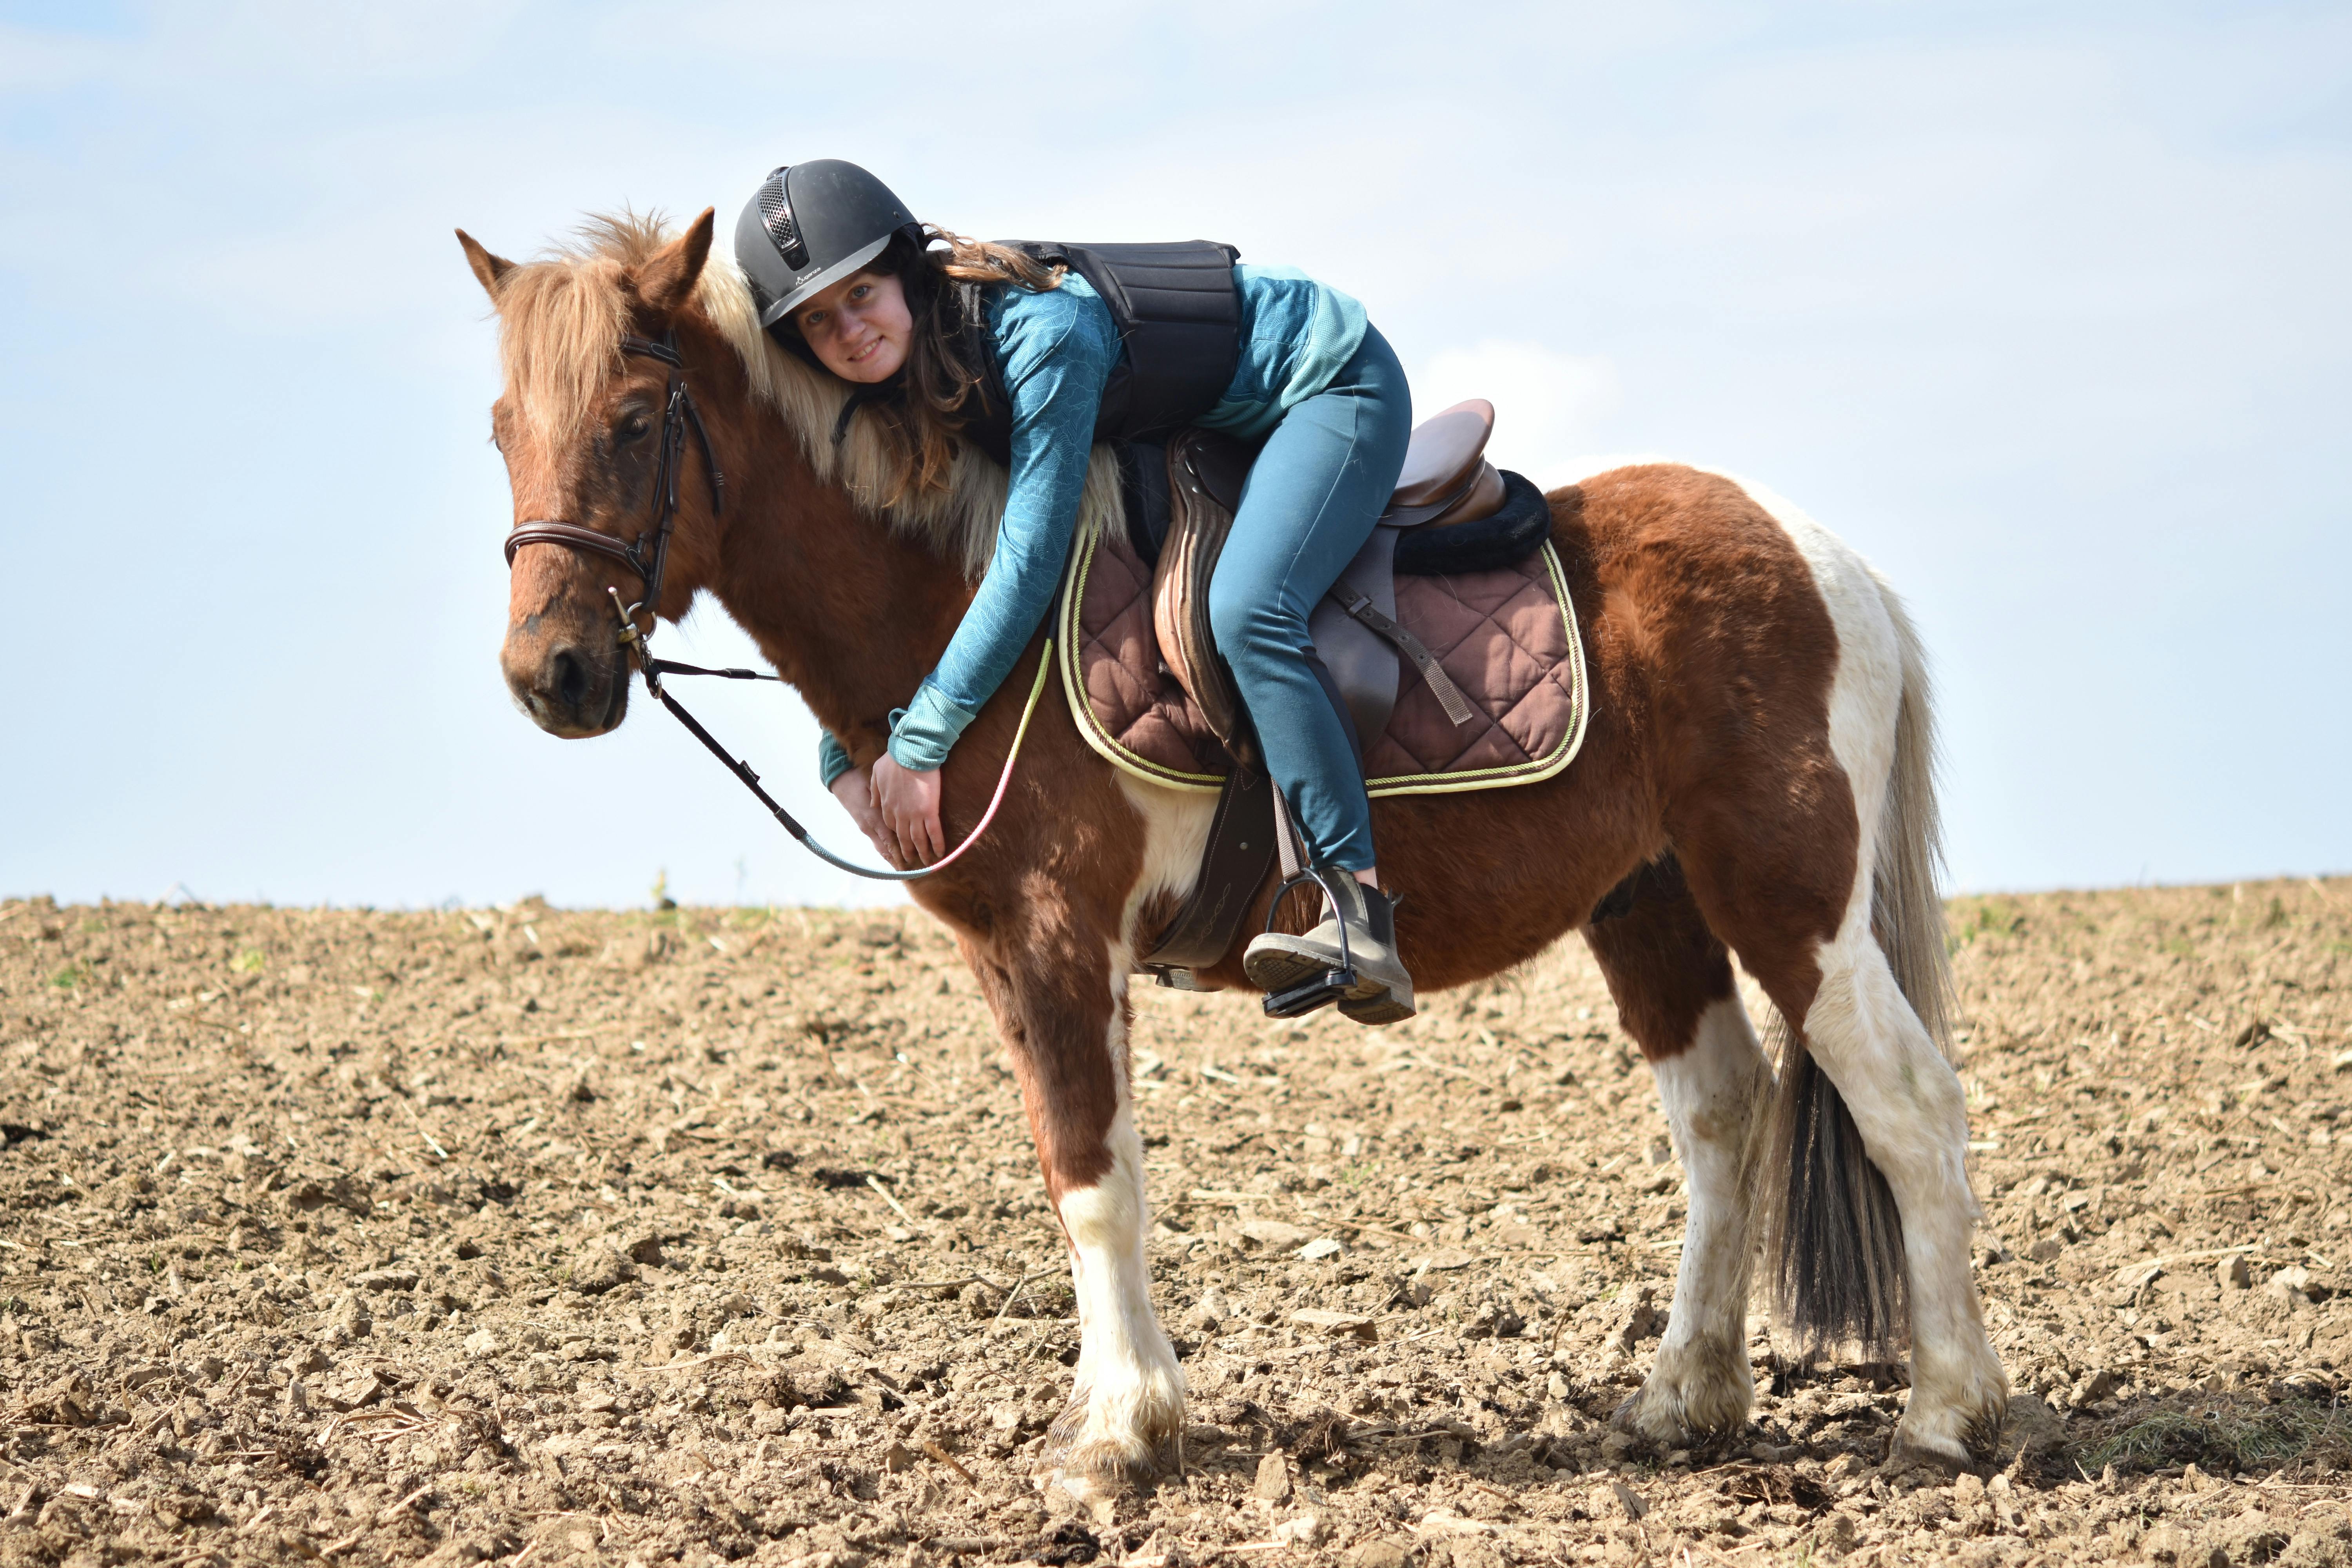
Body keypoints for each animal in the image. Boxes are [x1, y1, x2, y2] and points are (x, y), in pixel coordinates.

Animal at [468, 205, 2013, 1495]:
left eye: (637, 416)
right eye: (500, 428)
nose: (550, 674)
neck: (971, 605)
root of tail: (1828, 560)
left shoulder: (1061, 938)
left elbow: (1095, 1178)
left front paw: (1117, 1434)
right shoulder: (1006, 956)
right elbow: (1075, 1170)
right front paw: (1123, 1412)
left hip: (1789, 895)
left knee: (1906, 1105)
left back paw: (1949, 1412)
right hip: (1650, 905)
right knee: (1724, 1112)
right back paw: (1682, 1398)